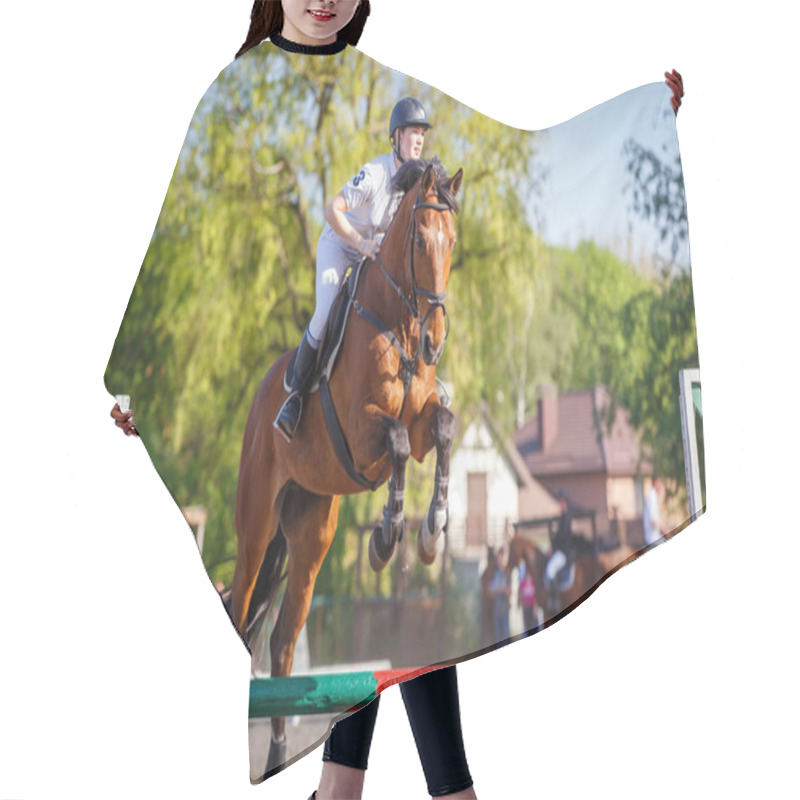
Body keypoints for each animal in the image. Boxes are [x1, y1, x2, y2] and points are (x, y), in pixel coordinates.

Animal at [228, 158, 462, 776]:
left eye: (454, 242)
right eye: (421, 240)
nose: (435, 342)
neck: (398, 321)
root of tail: (260, 396)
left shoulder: (423, 424)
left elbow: (442, 427)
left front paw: (429, 532)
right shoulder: (363, 435)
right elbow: (399, 443)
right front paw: (387, 536)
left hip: (311, 534)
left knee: (283, 643)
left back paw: (279, 754)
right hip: (256, 524)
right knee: (241, 610)